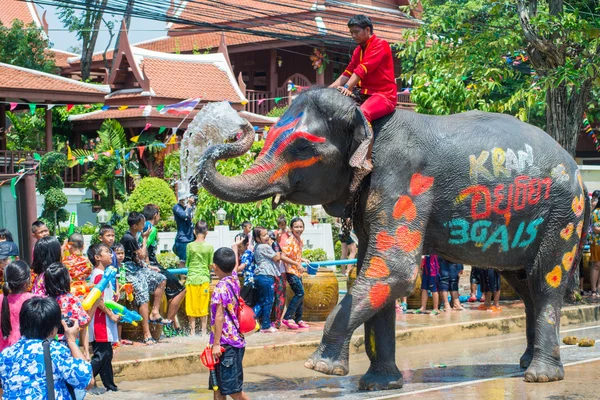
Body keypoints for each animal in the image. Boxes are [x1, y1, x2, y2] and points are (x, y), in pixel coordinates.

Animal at [198, 88, 592, 390]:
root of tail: (580, 174)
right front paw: (379, 384)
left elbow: (393, 271)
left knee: (544, 281)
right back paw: (525, 364)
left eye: (302, 149)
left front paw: (320, 368)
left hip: (562, 214)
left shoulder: (402, 180)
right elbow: (371, 274)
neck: (363, 117)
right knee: (523, 284)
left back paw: (540, 376)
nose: (239, 128)